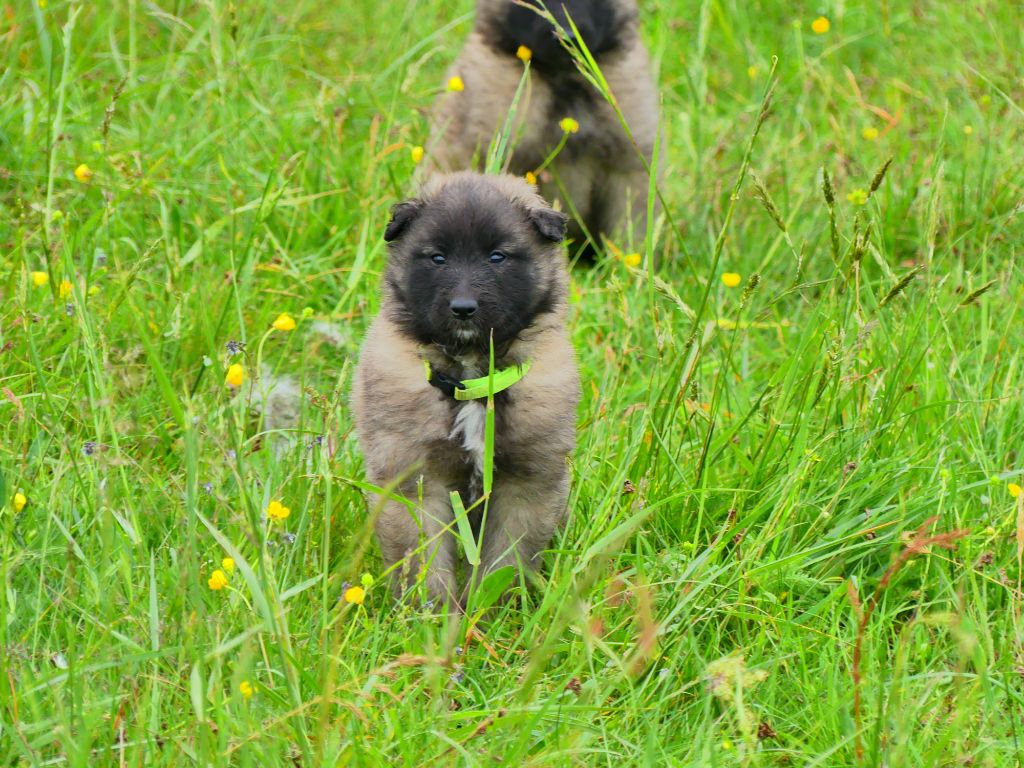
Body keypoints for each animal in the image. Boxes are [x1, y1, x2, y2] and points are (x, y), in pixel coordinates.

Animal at [352, 169, 581, 606]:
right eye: (437, 258)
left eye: (497, 257)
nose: (463, 308)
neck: (471, 378)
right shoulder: (416, 481)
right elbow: (424, 565)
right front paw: (433, 615)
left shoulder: (527, 484)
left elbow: (505, 563)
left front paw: (492, 613)